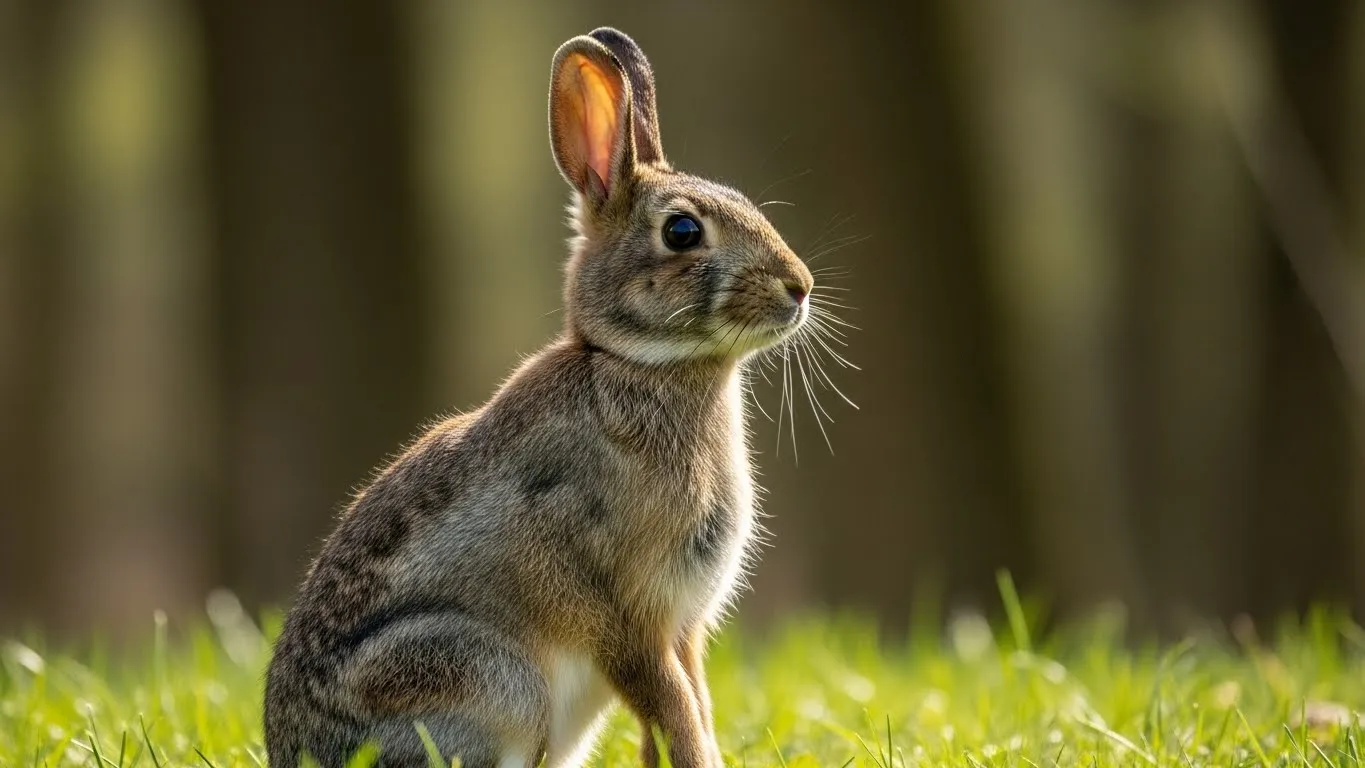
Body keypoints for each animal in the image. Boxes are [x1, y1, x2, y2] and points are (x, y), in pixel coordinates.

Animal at [263, 26, 815, 768]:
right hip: (489, 681)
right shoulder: (626, 613)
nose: (799, 286)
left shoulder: (681, 626)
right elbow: (674, 707)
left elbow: (686, 708)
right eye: (682, 232)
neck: (636, 364)